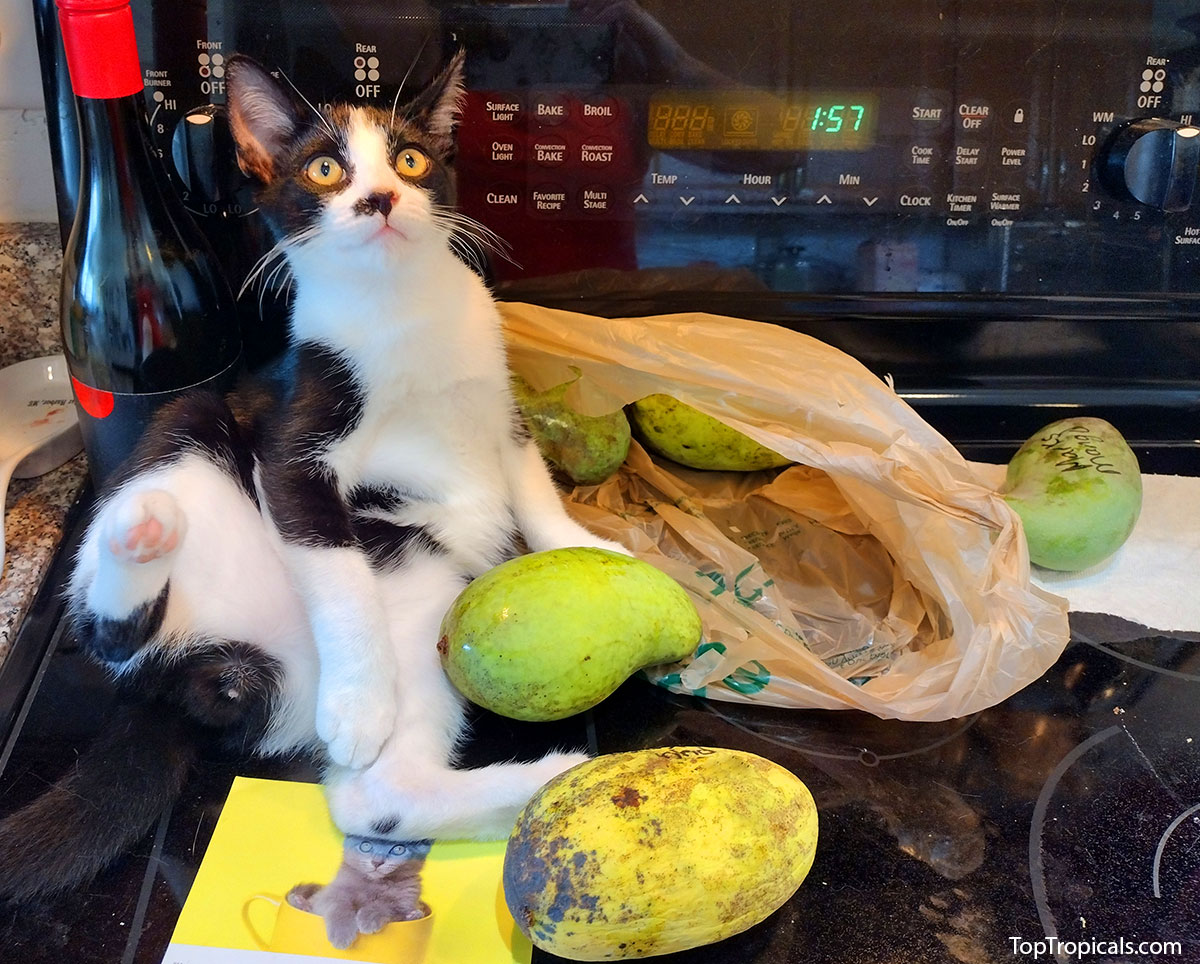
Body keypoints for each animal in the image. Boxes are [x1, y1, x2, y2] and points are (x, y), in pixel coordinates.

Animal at [0, 51, 619, 897]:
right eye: (326, 168)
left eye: (411, 159)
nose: (379, 198)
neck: (402, 314)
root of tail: (200, 678)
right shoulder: (291, 439)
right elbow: (333, 564)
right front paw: (357, 703)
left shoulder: (502, 406)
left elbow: (531, 484)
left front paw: (584, 543)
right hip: (198, 428)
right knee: (108, 631)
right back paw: (141, 533)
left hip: (429, 608)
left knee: (376, 797)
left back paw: (544, 783)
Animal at [288, 835, 434, 950]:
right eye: (366, 846)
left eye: (398, 849)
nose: (377, 861)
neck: (376, 884)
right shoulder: (332, 893)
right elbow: (339, 906)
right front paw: (342, 934)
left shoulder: (407, 899)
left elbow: (388, 905)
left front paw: (368, 918)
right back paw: (299, 902)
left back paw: (415, 915)